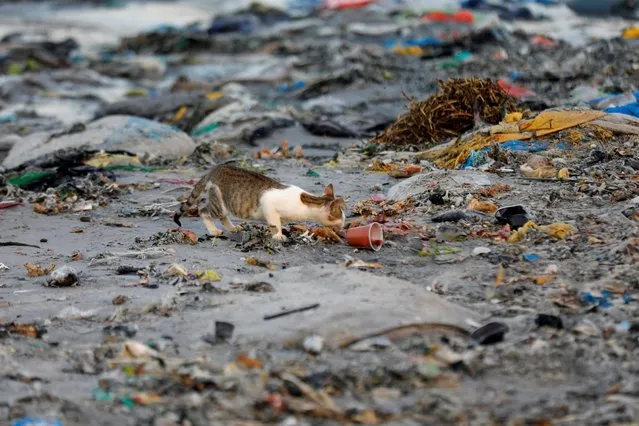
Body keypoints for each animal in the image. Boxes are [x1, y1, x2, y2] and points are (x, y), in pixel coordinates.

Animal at [172, 165, 344, 241]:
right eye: (341, 216)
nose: (343, 226)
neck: (305, 202)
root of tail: (216, 169)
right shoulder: (268, 204)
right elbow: (275, 222)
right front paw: (278, 235)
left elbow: (276, 223)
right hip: (219, 204)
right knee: (204, 211)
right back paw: (213, 230)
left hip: (225, 205)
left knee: (222, 216)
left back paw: (233, 228)